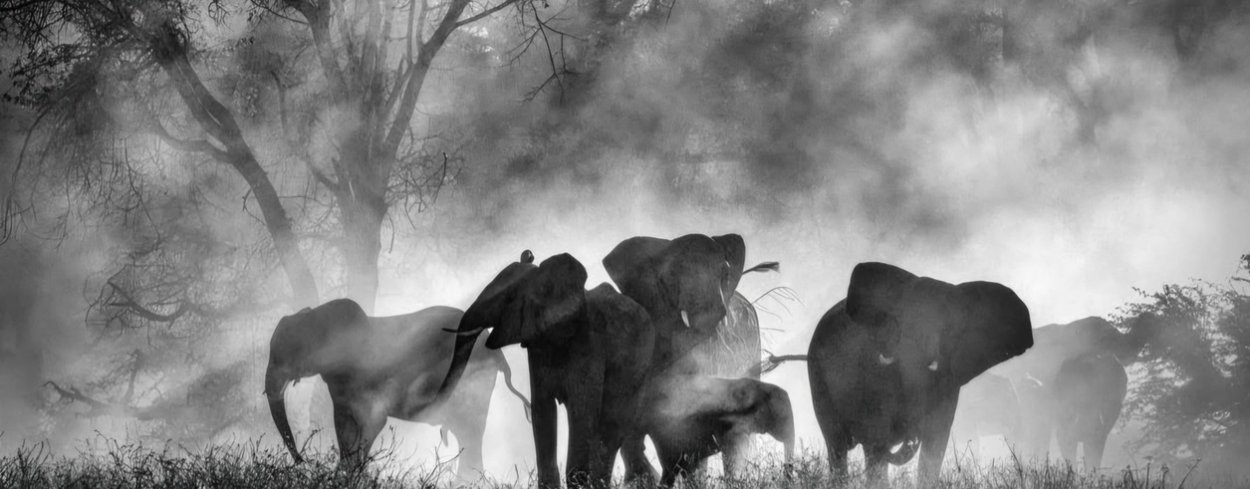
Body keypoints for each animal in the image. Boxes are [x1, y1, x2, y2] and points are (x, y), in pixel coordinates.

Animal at [263, 298, 531, 477]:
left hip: (473, 382)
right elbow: (344, 427)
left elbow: (373, 422)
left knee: (470, 431)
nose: (302, 461)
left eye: (290, 353)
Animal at [435, 251, 657, 489]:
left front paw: (579, 483)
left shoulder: (589, 343)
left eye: (510, 298)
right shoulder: (537, 345)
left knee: (613, 425)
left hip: (639, 367)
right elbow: (542, 409)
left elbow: (582, 409)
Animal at [807, 262, 1033, 486]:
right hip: (818, 378)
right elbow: (876, 436)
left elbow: (935, 441)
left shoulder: (948, 380)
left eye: (948, 329)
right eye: (899, 323)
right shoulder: (871, 373)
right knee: (837, 446)